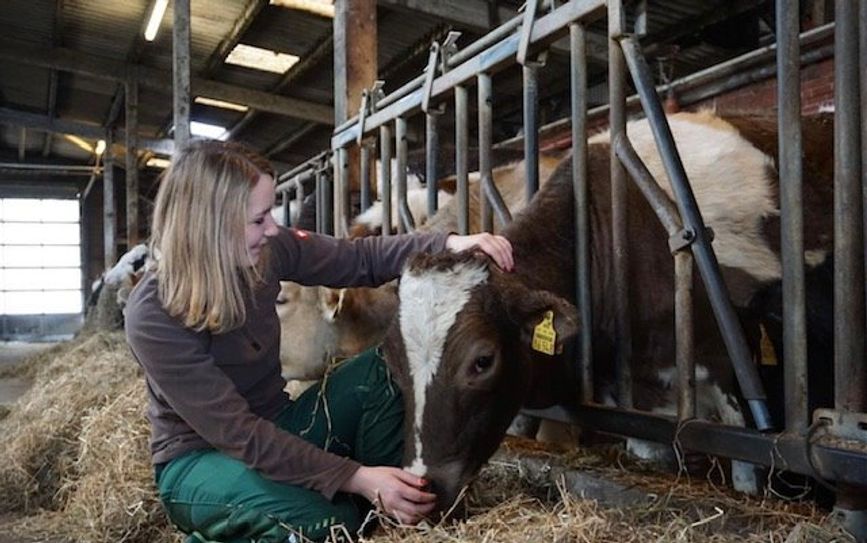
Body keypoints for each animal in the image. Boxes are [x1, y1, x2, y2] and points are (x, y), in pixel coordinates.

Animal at [380, 110, 836, 516]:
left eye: (482, 361)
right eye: (394, 363)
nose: (424, 487)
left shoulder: (731, 380)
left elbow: (746, 470)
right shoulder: (635, 397)